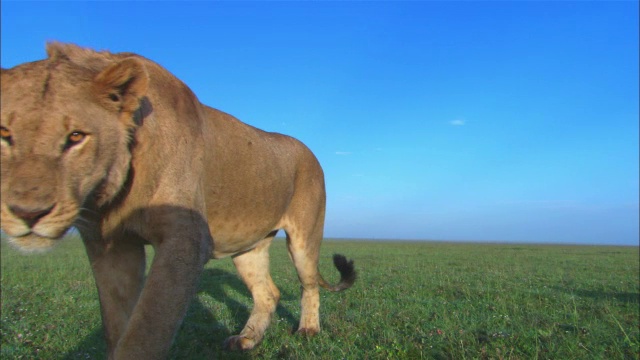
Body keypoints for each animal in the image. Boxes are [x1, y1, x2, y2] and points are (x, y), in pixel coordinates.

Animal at [0, 43, 358, 358]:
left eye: (75, 136)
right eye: (4, 134)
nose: (27, 212)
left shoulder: (186, 239)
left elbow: (147, 326)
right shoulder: (110, 245)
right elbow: (118, 326)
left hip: (304, 239)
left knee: (308, 284)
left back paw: (308, 330)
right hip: (247, 245)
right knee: (268, 293)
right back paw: (246, 340)